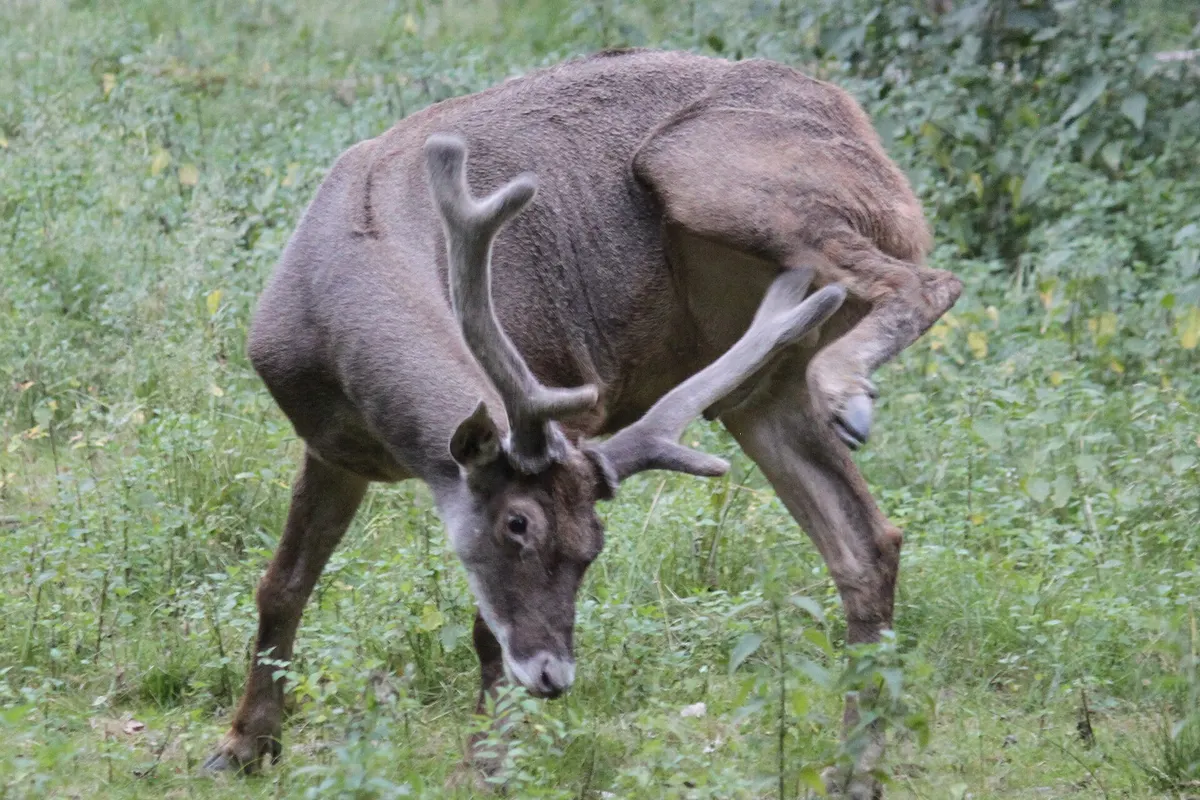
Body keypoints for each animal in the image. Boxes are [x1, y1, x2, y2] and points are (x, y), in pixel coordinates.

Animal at [202, 49, 961, 798]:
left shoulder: (563, 385)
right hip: (757, 385)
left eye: (593, 545)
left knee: (932, 280)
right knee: (868, 542)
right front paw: (243, 746)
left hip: (700, 167)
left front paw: (488, 765)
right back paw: (853, 773)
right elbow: (283, 583)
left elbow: (483, 633)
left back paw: (847, 385)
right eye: (518, 525)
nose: (555, 676)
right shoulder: (330, 446)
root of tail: (864, 134)